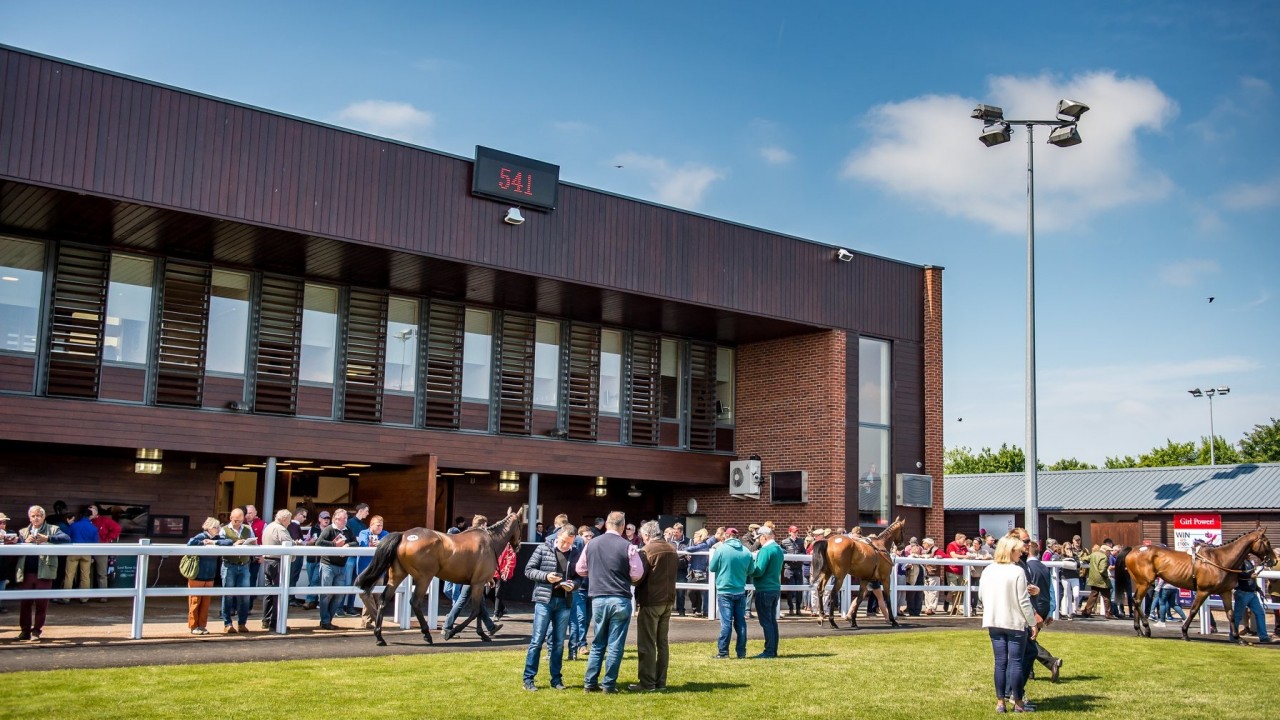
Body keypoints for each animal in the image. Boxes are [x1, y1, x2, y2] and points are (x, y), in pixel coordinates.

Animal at [353, 504, 522, 645]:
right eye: (520, 524)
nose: (518, 546)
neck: (490, 541)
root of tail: (404, 535)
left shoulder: (476, 583)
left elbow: (479, 610)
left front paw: (483, 633)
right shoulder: (479, 583)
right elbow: (475, 611)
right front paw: (452, 632)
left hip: (397, 575)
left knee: (383, 599)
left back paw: (379, 636)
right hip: (424, 577)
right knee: (415, 602)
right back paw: (427, 634)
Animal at [1126, 520, 1274, 638]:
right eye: (1267, 542)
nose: (1274, 560)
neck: (1220, 560)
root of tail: (1133, 550)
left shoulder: (1225, 591)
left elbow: (1230, 614)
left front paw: (1238, 638)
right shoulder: (1203, 590)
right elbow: (1193, 610)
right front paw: (1185, 633)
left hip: (1141, 582)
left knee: (1135, 600)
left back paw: (1139, 630)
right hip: (1145, 582)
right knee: (1137, 601)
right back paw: (1146, 628)